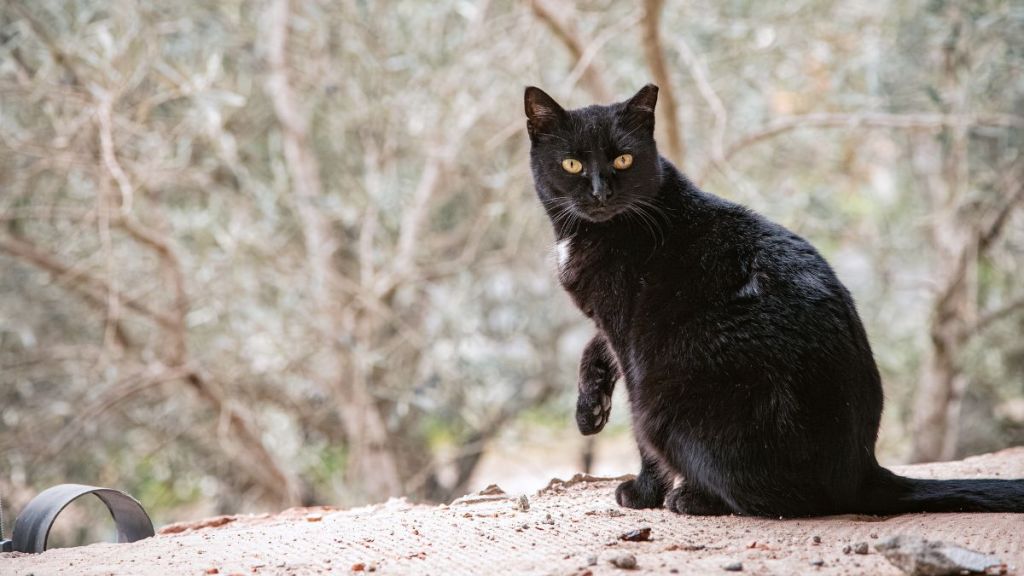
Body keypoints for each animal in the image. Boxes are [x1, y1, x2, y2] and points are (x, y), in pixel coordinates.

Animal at [528, 81, 1024, 516]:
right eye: (572, 165)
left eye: (624, 159)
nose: (600, 192)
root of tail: (861, 472)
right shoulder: (609, 324)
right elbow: (593, 347)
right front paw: (589, 409)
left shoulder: (630, 337)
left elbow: (637, 430)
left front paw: (643, 492)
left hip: (666, 405)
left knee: (781, 501)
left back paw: (693, 499)